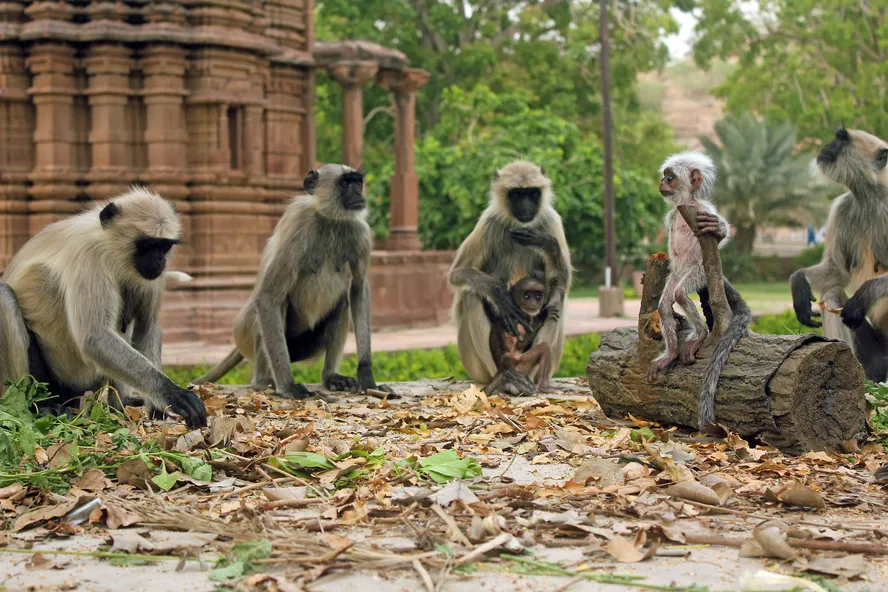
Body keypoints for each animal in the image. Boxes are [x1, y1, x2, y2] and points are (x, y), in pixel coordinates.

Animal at [0, 187, 208, 428]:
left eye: (163, 246)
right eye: (146, 245)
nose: (159, 262)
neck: (109, 245)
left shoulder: (150, 276)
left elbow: (146, 326)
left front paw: (157, 405)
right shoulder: (89, 255)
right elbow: (95, 337)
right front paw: (172, 393)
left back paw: (119, 403)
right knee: (5, 295)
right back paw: (36, 407)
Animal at [194, 164, 388, 400]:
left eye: (357, 182)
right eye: (344, 183)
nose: (359, 193)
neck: (328, 219)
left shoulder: (360, 233)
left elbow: (359, 288)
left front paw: (367, 375)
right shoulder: (298, 225)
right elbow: (267, 298)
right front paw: (288, 386)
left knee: (342, 302)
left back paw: (330, 376)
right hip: (247, 333)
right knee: (276, 302)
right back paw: (264, 381)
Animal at [450, 160, 568, 396]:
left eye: (532, 193)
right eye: (516, 194)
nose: (526, 207)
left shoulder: (551, 221)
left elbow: (563, 280)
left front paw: (546, 244)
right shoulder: (489, 222)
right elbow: (457, 273)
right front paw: (498, 294)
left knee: (557, 297)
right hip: (477, 368)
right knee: (471, 295)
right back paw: (503, 379)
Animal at [652, 151, 748, 430]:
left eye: (670, 178)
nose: (661, 183)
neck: (684, 205)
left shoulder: (702, 211)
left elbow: (719, 233)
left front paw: (719, 228)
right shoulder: (674, 217)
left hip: (698, 272)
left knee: (680, 294)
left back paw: (701, 335)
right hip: (679, 273)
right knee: (666, 303)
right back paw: (672, 352)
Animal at [796, 127, 888, 382]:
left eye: (841, 140)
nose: (827, 146)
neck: (870, 197)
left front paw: (866, 293)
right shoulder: (843, 207)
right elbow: (837, 273)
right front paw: (799, 281)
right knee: (833, 294)